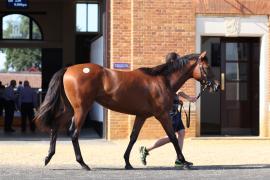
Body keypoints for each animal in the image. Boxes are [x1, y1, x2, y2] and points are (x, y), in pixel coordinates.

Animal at [33, 51, 219, 170]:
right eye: (208, 67)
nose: (216, 86)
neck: (161, 80)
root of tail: (69, 69)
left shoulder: (141, 116)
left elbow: (133, 137)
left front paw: (127, 162)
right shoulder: (162, 115)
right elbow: (173, 137)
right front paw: (184, 161)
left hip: (70, 109)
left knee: (55, 126)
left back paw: (48, 157)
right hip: (81, 108)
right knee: (73, 132)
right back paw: (83, 164)